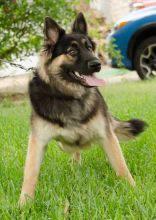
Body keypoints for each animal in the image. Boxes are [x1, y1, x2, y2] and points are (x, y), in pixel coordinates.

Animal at [18, 12, 147, 208]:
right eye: (72, 52)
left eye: (90, 48)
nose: (97, 64)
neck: (69, 96)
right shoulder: (38, 141)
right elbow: (30, 173)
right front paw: (23, 204)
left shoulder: (106, 136)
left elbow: (121, 167)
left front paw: (134, 192)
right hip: (64, 144)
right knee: (73, 149)